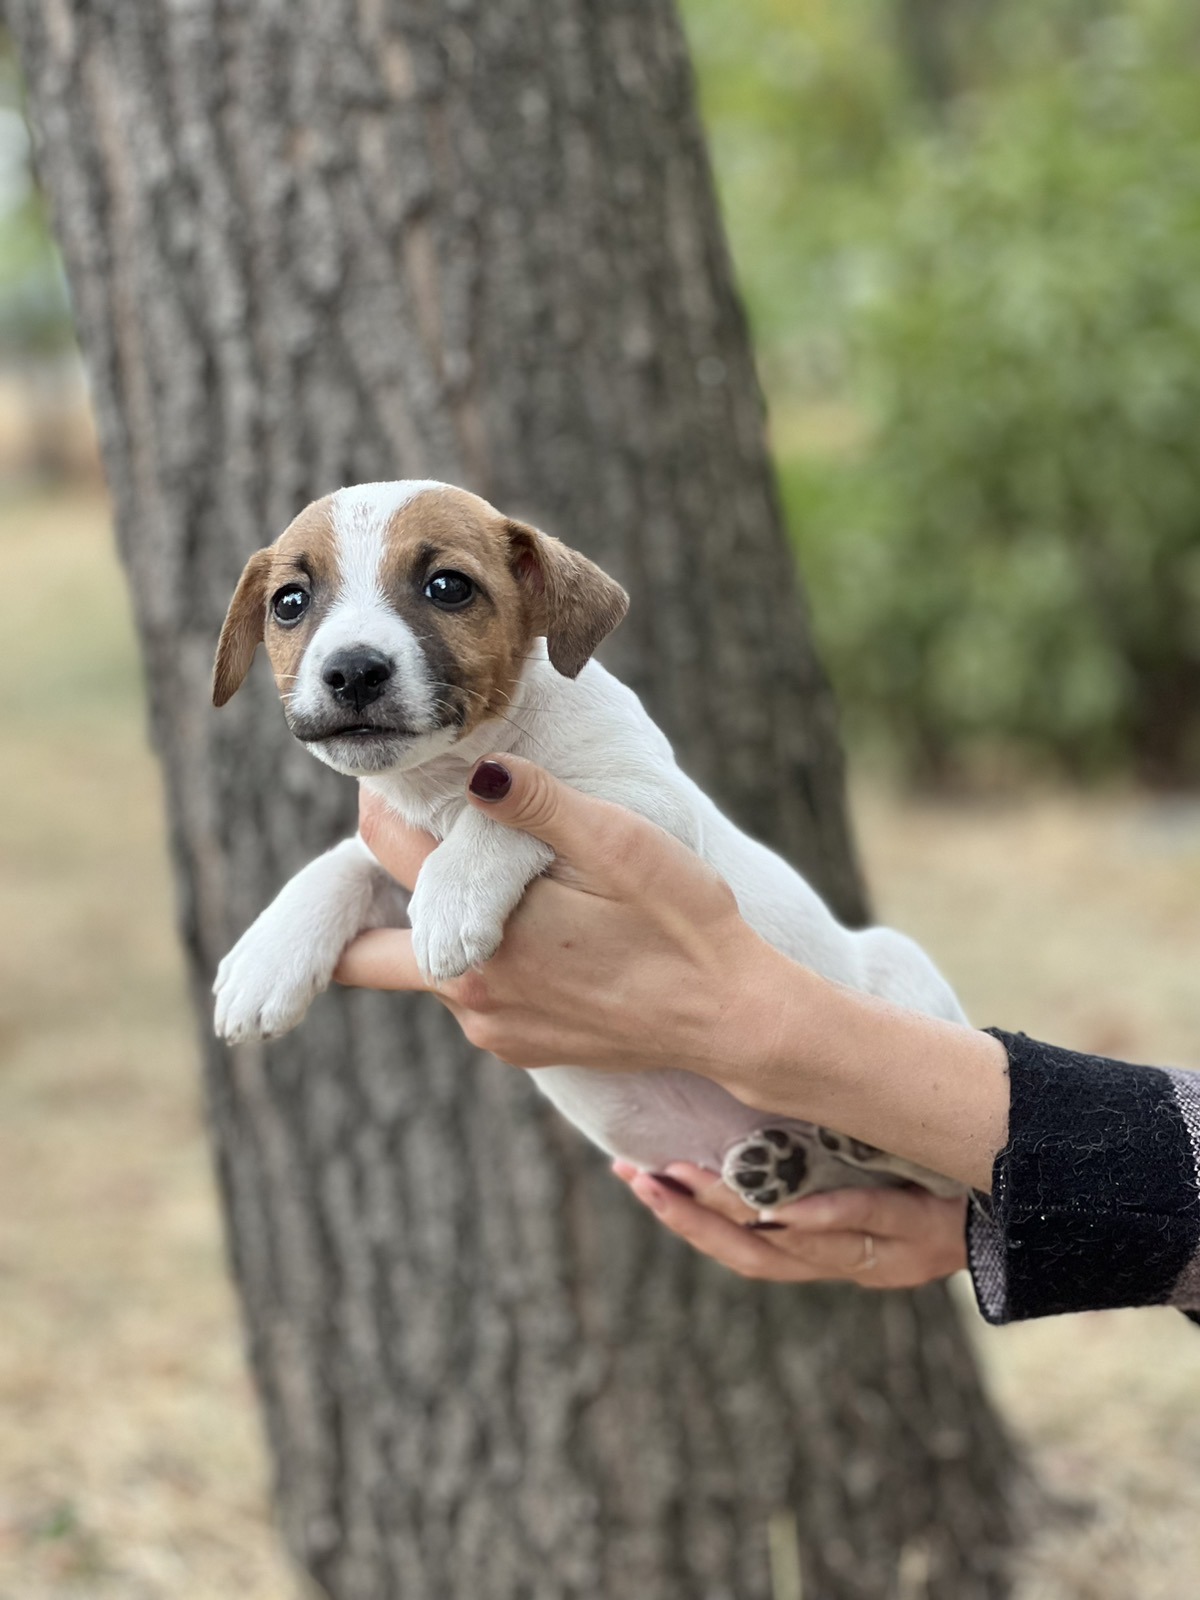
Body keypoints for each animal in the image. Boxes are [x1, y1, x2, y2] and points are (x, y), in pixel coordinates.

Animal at [214, 480, 966, 1203]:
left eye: (448, 587)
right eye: (290, 602)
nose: (352, 671)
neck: (446, 781)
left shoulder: (645, 801)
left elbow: (504, 813)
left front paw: (454, 894)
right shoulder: (396, 857)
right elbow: (338, 865)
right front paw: (263, 960)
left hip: (900, 976)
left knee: (939, 1176)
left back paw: (862, 1139)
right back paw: (788, 1164)